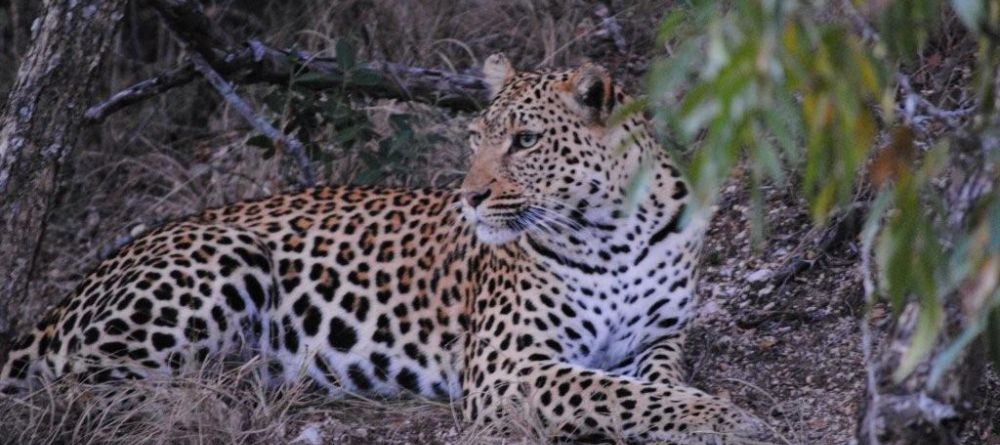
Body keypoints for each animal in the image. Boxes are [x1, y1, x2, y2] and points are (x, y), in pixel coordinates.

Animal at [0, 54, 761, 444]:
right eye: (477, 136)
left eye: (525, 141)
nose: (470, 197)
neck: (611, 233)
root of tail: (79, 286)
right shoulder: (507, 367)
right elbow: (610, 391)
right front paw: (724, 415)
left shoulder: (660, 336)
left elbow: (650, 382)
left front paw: (697, 407)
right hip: (226, 254)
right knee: (81, 387)